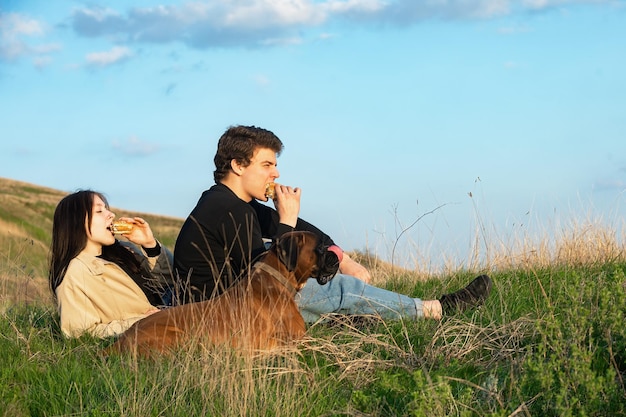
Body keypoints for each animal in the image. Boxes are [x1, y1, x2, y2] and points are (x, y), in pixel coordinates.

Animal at [106, 229, 342, 356]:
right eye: (322, 247)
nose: (336, 256)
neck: (276, 278)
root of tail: (122, 339)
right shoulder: (300, 339)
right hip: (179, 338)